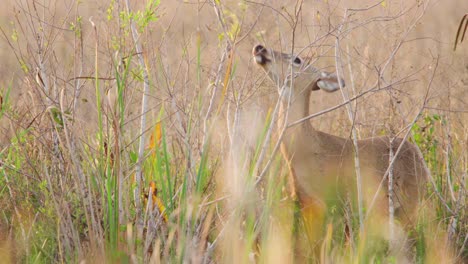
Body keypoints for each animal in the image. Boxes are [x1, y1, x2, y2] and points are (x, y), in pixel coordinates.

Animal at [252, 44, 428, 253]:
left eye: (297, 59)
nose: (260, 47)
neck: (304, 152)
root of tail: (420, 160)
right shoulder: (303, 201)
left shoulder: (331, 201)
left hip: (409, 202)